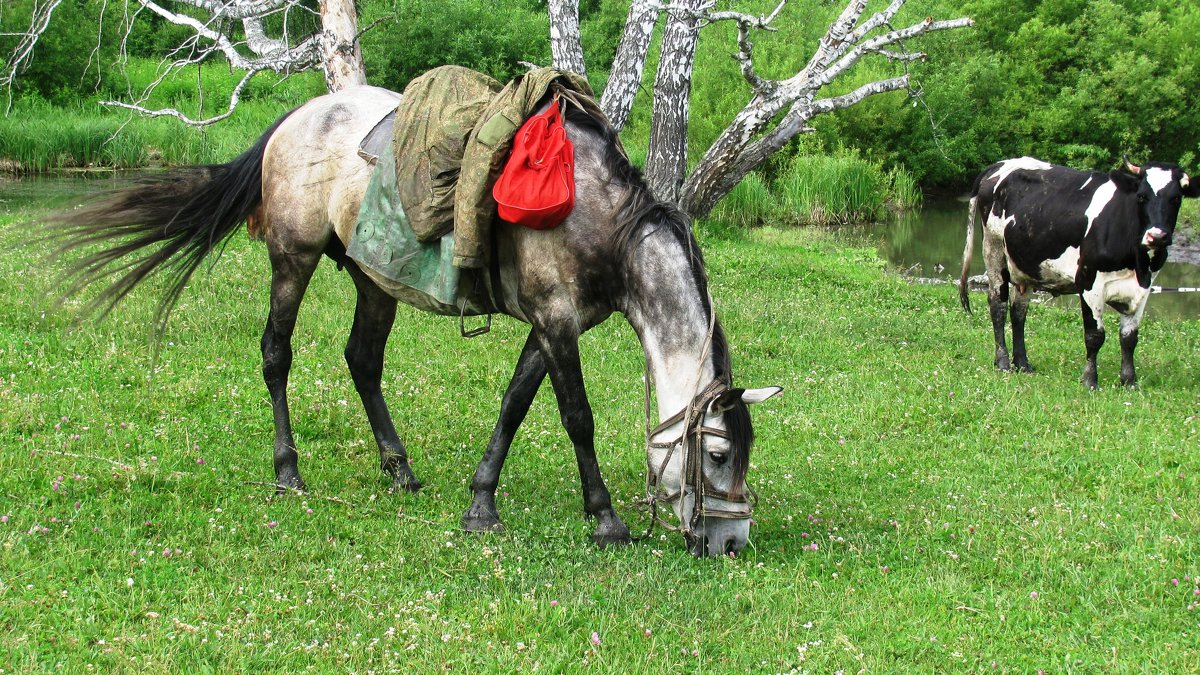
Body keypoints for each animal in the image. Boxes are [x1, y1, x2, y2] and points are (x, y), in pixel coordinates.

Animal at [44, 84, 777, 554]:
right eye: (717, 453)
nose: (731, 541)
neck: (601, 220)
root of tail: (295, 118)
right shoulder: (557, 321)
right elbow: (577, 418)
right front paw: (605, 519)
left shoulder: (547, 326)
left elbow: (514, 404)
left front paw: (481, 504)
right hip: (292, 258)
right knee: (276, 353)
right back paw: (289, 471)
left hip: (375, 280)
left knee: (362, 361)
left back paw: (398, 468)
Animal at [960, 157, 1200, 386]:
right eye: (1141, 197)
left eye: (1176, 199)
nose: (1157, 236)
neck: (1137, 263)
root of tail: (999, 165)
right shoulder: (1088, 281)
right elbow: (1094, 336)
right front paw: (1090, 380)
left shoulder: (1144, 288)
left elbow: (1129, 338)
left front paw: (1129, 381)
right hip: (994, 251)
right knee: (998, 306)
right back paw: (1002, 362)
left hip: (1024, 266)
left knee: (1018, 312)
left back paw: (1022, 363)